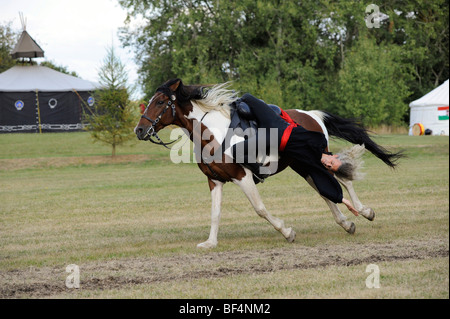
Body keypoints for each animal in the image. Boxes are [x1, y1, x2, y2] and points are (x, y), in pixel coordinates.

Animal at [135, 79, 402, 249]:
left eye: (160, 102)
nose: (139, 130)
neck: (212, 133)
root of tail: (311, 114)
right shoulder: (215, 181)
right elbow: (215, 213)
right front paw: (210, 242)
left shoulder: (242, 177)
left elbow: (260, 209)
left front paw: (287, 232)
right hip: (303, 166)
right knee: (325, 191)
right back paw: (347, 223)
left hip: (315, 157)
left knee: (342, 179)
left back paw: (365, 211)